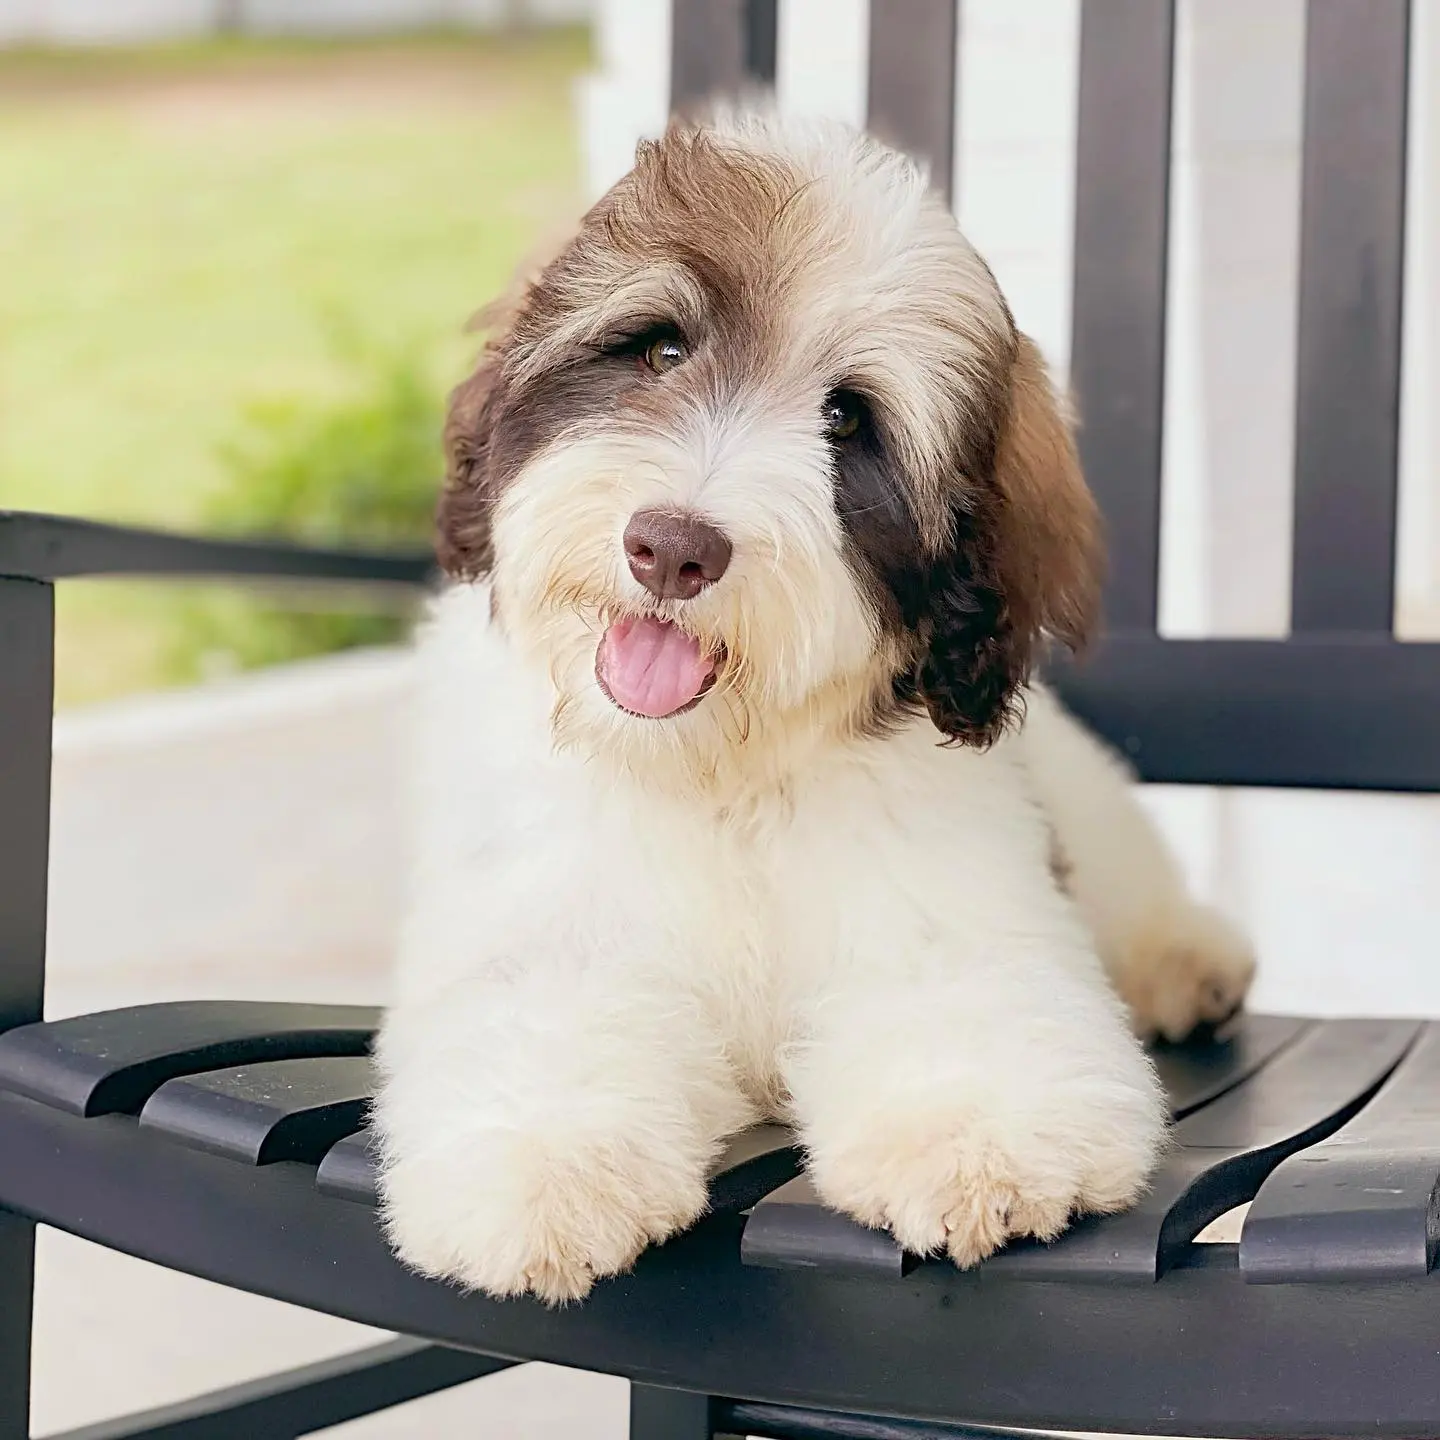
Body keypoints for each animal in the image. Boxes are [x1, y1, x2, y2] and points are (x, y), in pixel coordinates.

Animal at [374, 109, 1261, 1307]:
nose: (672, 546)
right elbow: (548, 1015)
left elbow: (963, 1003)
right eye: (659, 350)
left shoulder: (944, 910)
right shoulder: (548, 925)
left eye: (848, 421)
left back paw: (1186, 964)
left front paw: (975, 1139)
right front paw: (542, 1167)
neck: (719, 773)